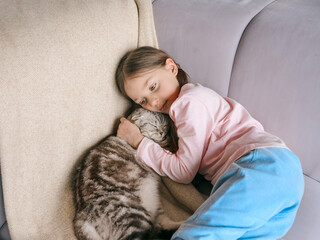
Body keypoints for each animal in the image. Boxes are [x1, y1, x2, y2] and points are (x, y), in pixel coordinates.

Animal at [72, 108, 180, 239]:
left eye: (165, 126)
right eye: (154, 125)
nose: (162, 132)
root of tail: (80, 215)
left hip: (153, 209)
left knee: (162, 225)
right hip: (132, 215)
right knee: (153, 233)